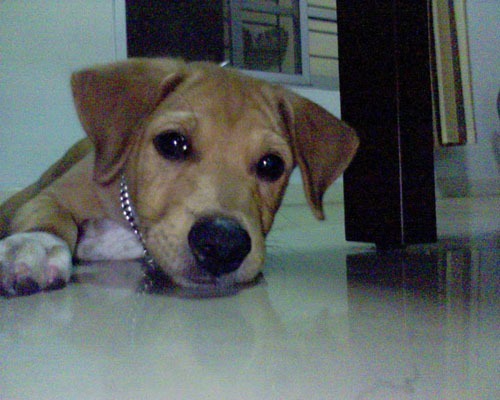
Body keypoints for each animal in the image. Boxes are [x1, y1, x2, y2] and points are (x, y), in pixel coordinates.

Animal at [0, 58, 358, 297]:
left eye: (271, 165)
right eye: (172, 143)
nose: (222, 244)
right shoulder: (57, 194)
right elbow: (49, 214)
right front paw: (35, 244)